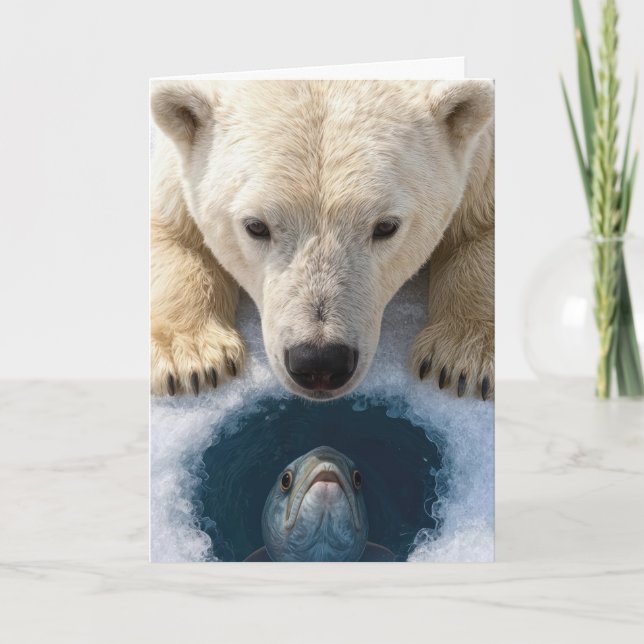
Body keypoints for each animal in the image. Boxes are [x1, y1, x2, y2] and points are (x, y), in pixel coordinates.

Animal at [150, 80, 494, 401]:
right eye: (256, 226)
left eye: (386, 226)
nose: (319, 362)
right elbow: (173, 228)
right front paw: (193, 359)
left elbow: (480, 228)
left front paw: (460, 358)